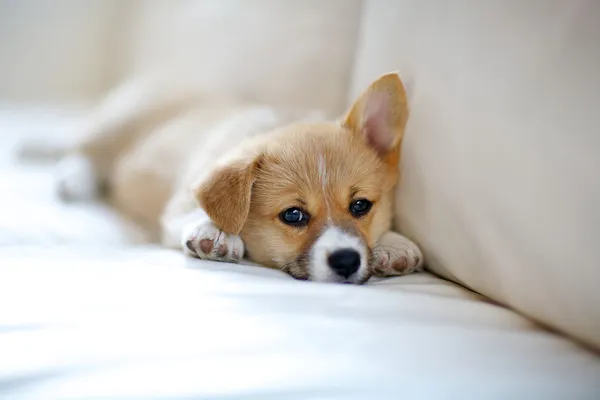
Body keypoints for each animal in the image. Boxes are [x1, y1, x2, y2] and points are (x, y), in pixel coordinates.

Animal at [55, 72, 422, 284]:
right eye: (293, 215)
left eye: (361, 206)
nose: (347, 260)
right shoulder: (180, 202)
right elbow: (198, 212)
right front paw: (214, 233)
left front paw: (395, 245)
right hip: (118, 123)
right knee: (87, 152)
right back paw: (72, 180)